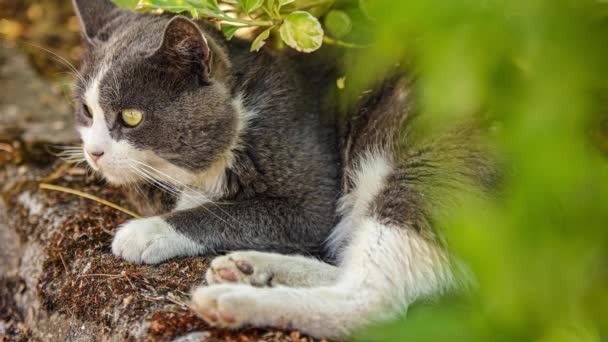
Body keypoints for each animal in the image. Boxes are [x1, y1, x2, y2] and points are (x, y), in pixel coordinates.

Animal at [72, 0, 342, 264]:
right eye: (87, 110)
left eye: (131, 116)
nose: (93, 152)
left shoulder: (310, 201)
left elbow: (230, 213)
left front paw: (146, 232)